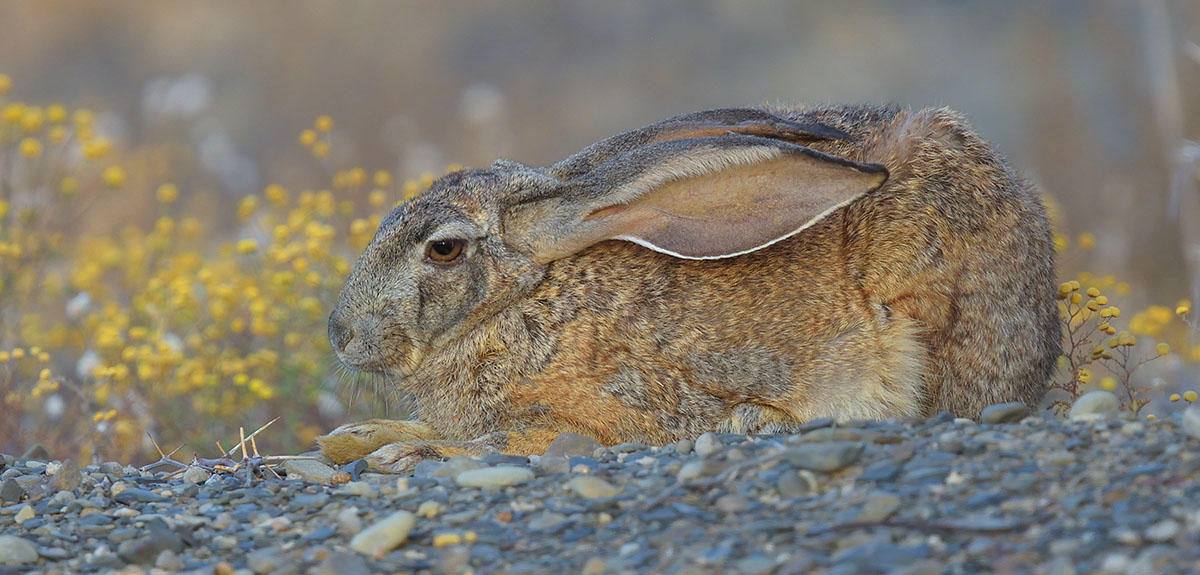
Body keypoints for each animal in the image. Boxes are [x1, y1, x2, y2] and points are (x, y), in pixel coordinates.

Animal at [320, 105, 1061, 472]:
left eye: (443, 249)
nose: (340, 332)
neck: (520, 305)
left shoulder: (611, 413)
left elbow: (504, 444)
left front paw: (408, 450)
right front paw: (357, 436)